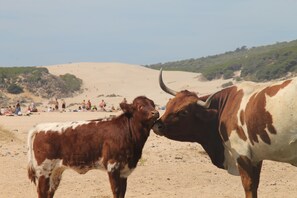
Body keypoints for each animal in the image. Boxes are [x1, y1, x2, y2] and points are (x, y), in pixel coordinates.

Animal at [27, 96, 160, 198]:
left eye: (153, 104)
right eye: (140, 106)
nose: (156, 113)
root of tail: (39, 127)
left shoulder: (124, 170)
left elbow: (122, 192)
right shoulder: (113, 165)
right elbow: (116, 191)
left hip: (55, 171)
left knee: (50, 192)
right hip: (44, 170)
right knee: (42, 192)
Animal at [153, 69, 296, 197]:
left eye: (184, 112)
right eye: (169, 104)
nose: (157, 125)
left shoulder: (242, 155)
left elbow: (249, 186)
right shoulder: (256, 157)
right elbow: (255, 184)